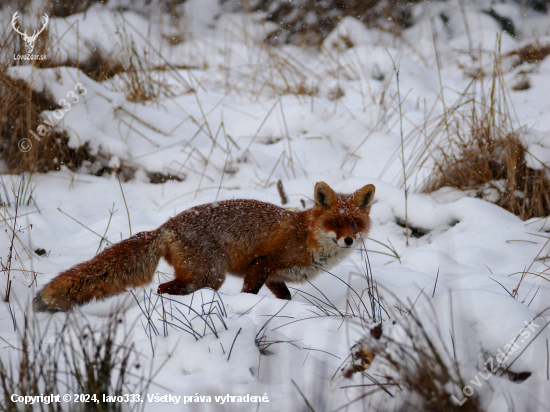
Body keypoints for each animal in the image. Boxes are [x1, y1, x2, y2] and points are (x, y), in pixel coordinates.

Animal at [33, 181, 376, 312]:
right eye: (335, 223)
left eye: (355, 225)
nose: (348, 240)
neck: (308, 239)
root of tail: (165, 227)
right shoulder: (262, 264)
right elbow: (249, 291)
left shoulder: (277, 278)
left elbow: (286, 298)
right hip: (211, 275)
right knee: (164, 289)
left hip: (204, 276)